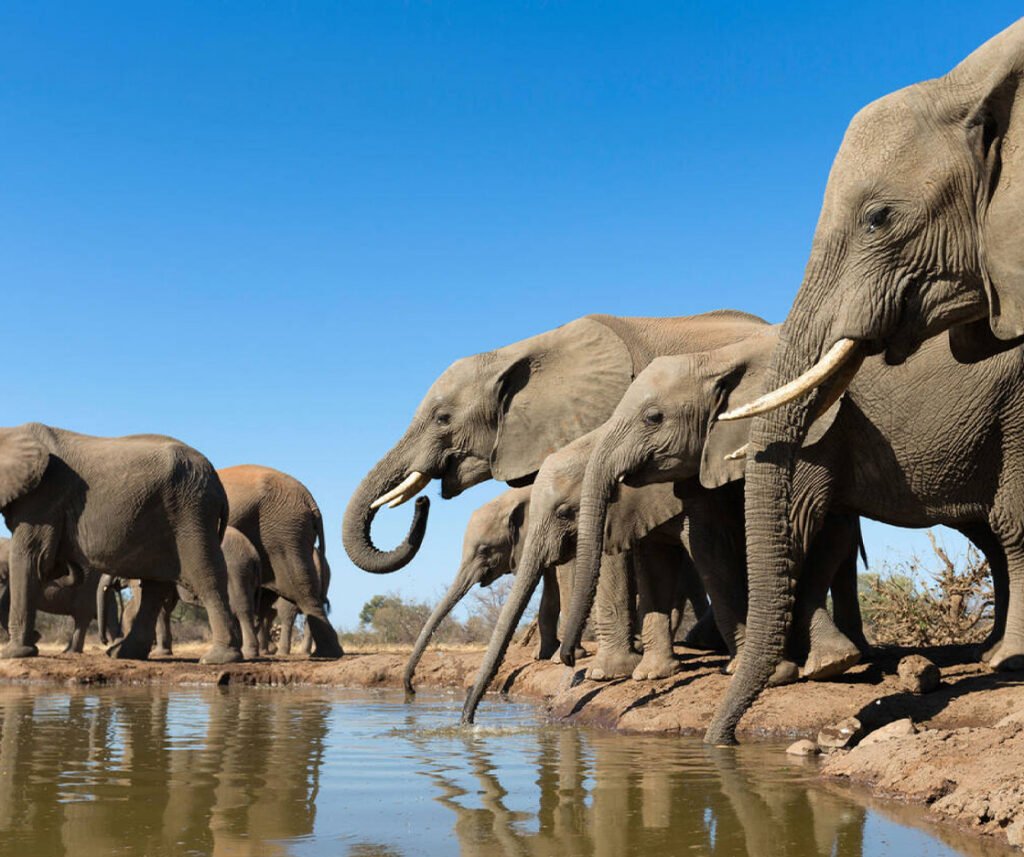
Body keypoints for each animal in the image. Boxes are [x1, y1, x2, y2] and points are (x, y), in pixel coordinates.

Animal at [0, 423, 242, 663]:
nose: (37, 635)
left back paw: (219, 657)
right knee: (154, 587)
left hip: (191, 511)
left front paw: (13, 654)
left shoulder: (43, 495)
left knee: (205, 575)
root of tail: (218, 484)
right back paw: (122, 653)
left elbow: (31, 557)